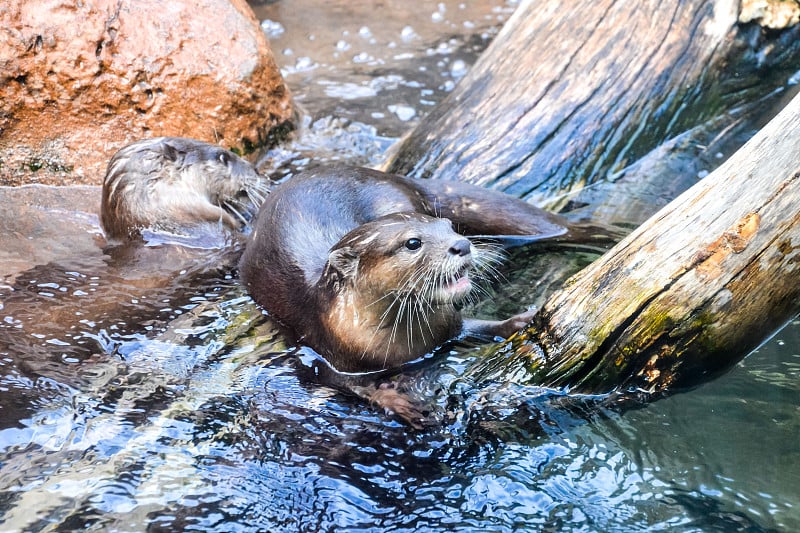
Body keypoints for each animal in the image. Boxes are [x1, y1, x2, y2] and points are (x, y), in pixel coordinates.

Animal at [238, 164, 568, 372]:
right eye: (413, 243)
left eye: (449, 227)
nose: (462, 245)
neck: (409, 345)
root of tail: (398, 179)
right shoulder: (337, 358)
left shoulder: (450, 326)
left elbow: (481, 327)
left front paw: (523, 320)